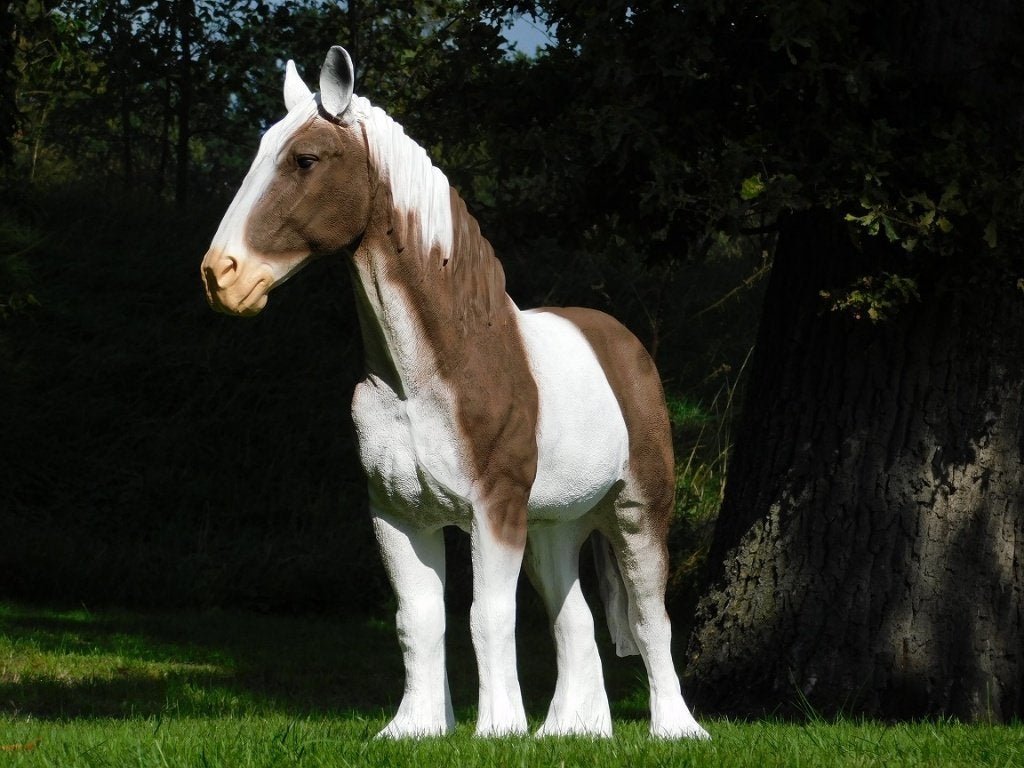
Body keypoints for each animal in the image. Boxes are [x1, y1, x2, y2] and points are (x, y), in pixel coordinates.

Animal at [200, 46, 708, 741]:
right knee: (574, 618)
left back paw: (677, 730)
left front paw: (498, 731)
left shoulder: (492, 511)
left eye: (305, 159)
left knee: (651, 617)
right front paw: (414, 728)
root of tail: (626, 346)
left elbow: (484, 618)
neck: (427, 375)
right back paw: (571, 733)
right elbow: (419, 620)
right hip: (554, 524)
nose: (221, 276)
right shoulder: (398, 513)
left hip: (637, 510)